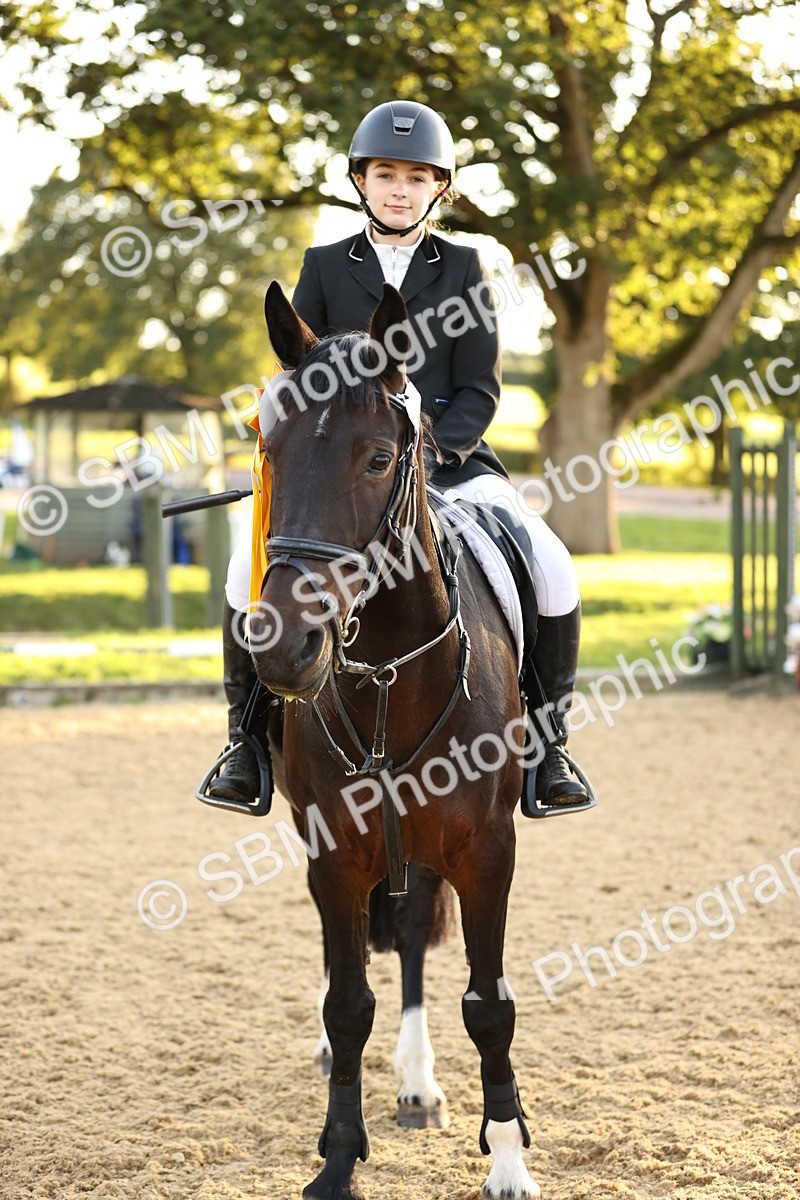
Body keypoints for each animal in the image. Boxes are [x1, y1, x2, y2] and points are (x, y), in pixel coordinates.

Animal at [247, 279, 540, 1200]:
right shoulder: (334, 848)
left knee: (410, 936)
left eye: (379, 459)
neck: (385, 671)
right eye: (270, 449)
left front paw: (508, 1158)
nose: (284, 647)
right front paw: (338, 1159)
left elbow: (489, 1003)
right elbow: (348, 1004)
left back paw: (417, 1082)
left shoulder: (486, 849)